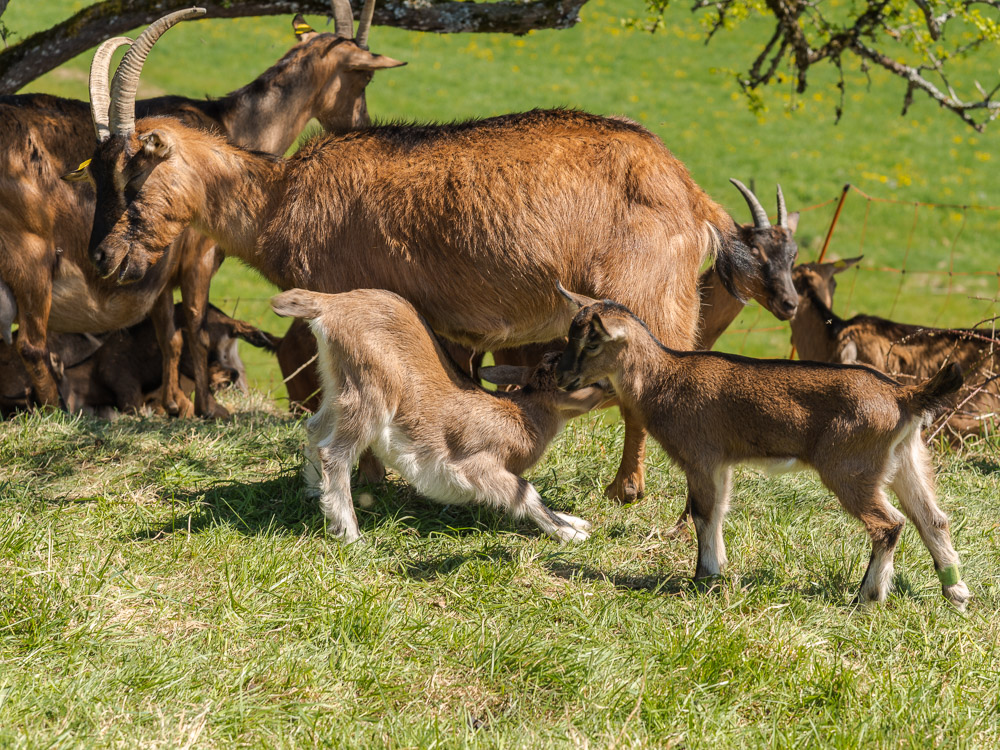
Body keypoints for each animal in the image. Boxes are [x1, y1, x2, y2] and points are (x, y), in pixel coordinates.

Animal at [3, 0, 402, 420]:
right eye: (364, 77)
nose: (362, 123)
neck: (226, 128)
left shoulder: (156, 263)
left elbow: (168, 331)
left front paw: (174, 403)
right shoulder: (199, 253)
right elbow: (195, 323)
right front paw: (207, 406)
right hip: (31, 259)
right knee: (31, 343)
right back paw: (55, 410)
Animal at [82, 27, 764, 512]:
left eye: (133, 178)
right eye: (98, 175)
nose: (103, 259)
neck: (279, 197)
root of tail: (690, 190)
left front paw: (370, 486)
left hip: (650, 297)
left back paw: (641, 497)